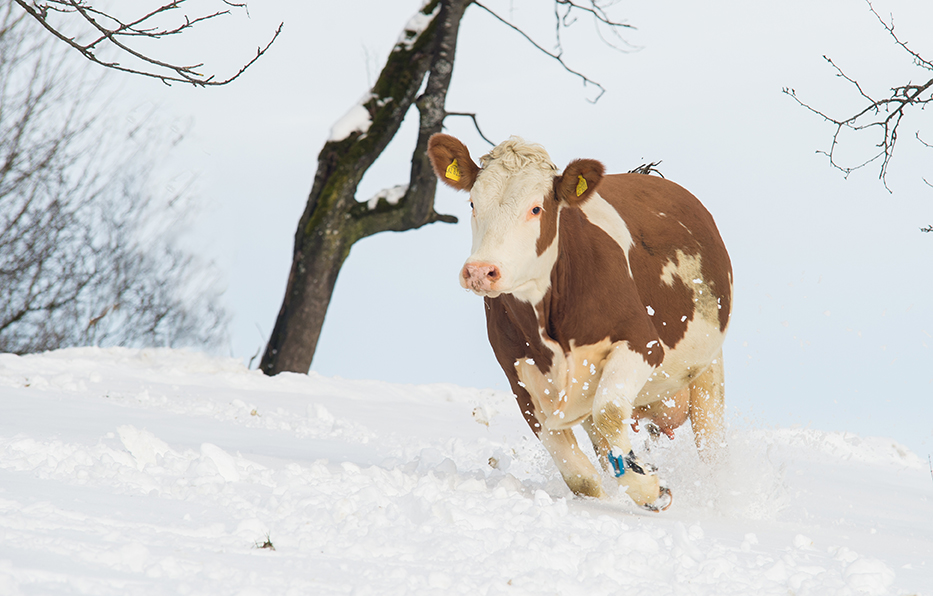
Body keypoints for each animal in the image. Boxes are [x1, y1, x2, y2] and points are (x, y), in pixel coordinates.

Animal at [426, 133, 732, 510]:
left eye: (536, 208)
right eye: (472, 203)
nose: (481, 271)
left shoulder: (642, 342)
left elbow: (610, 412)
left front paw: (649, 488)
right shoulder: (519, 378)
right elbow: (580, 475)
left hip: (707, 368)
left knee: (711, 443)